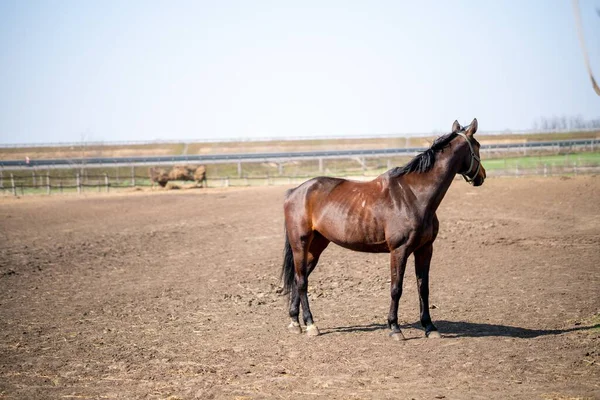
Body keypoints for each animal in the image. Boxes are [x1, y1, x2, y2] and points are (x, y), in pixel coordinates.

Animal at [282, 118, 488, 338]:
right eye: (478, 146)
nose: (482, 176)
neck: (415, 196)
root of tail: (294, 192)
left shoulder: (425, 249)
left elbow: (423, 288)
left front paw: (430, 327)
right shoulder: (399, 250)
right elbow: (396, 288)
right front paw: (395, 328)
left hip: (316, 246)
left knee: (299, 278)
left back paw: (295, 322)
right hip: (300, 244)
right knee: (302, 281)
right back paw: (311, 324)